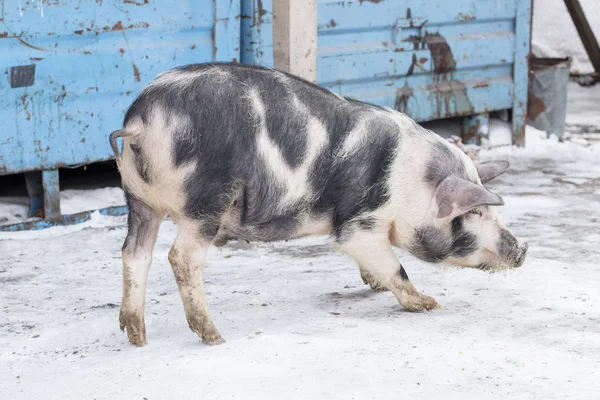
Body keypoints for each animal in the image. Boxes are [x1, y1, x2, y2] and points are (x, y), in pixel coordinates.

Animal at [110, 62, 528, 346]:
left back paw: (136, 335)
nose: (522, 249)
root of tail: (143, 122)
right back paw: (214, 336)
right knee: (180, 257)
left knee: (134, 253)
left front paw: (373, 285)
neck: (411, 182)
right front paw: (430, 304)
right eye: (474, 212)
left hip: (138, 200)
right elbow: (394, 266)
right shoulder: (361, 222)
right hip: (206, 201)